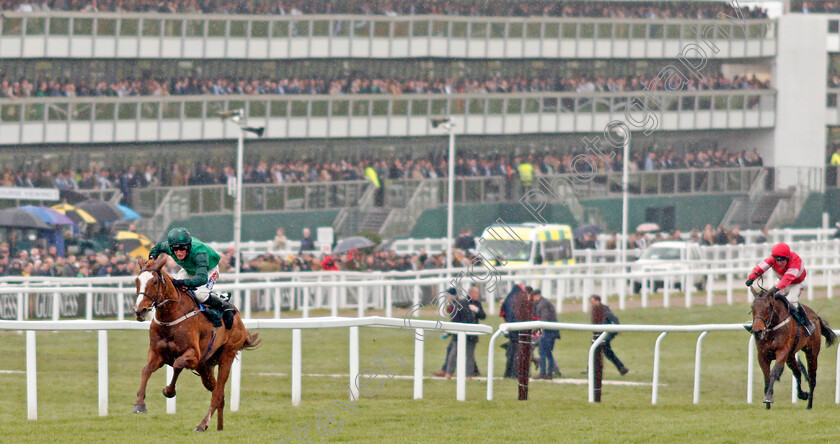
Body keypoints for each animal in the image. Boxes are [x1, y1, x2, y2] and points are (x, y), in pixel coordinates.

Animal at [132, 255, 260, 432]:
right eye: (137, 280)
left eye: (155, 282)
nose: (140, 310)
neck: (171, 317)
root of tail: (238, 317)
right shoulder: (157, 354)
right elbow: (146, 370)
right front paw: (139, 404)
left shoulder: (192, 355)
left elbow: (178, 364)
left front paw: (169, 391)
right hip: (205, 366)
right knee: (218, 392)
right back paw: (219, 427)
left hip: (227, 354)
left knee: (218, 393)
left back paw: (202, 424)